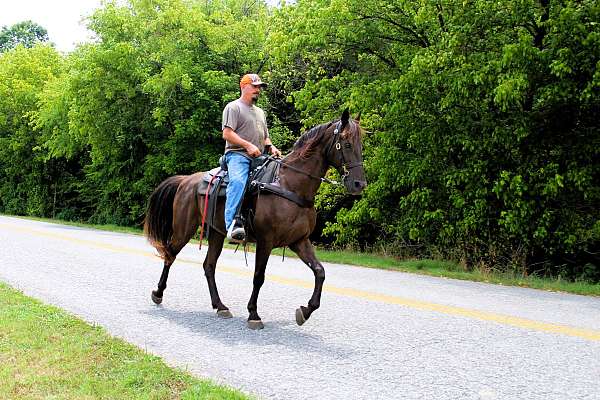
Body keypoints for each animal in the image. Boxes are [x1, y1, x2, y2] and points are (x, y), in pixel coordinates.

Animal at [145, 108, 368, 328]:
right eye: (347, 143)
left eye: (361, 144)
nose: (359, 184)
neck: (291, 185)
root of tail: (186, 180)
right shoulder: (265, 240)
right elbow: (259, 276)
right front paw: (253, 314)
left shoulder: (299, 241)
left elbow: (320, 272)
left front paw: (305, 311)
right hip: (184, 229)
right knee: (170, 254)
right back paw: (158, 293)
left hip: (216, 232)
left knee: (209, 266)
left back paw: (220, 306)